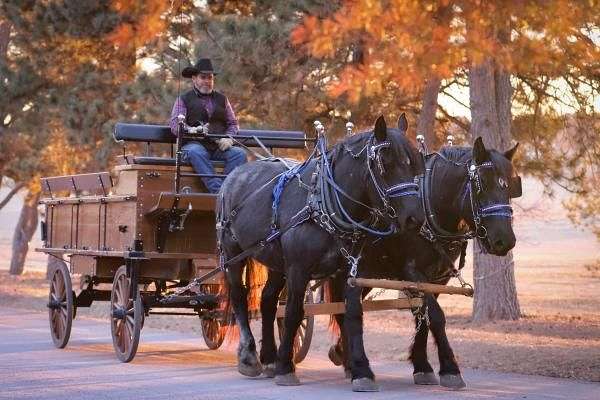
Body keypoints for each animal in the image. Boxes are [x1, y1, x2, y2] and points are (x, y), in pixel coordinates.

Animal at [326, 136, 516, 390]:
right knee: (344, 310)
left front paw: (422, 366)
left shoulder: (436, 278)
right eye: (482, 184)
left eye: (510, 186)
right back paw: (352, 363)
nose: (505, 240)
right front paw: (450, 368)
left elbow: (422, 316)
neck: (429, 205)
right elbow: (435, 315)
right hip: (346, 273)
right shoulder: (412, 272)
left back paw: (344, 357)